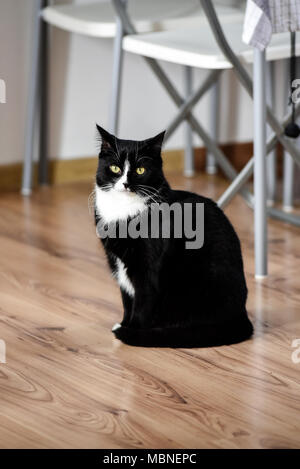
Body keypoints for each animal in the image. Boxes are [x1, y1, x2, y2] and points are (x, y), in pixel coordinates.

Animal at [94, 125, 253, 348]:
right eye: (115, 168)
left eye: (140, 170)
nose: (125, 184)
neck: (124, 212)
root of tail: (241, 316)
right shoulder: (117, 262)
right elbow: (127, 298)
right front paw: (125, 323)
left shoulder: (146, 268)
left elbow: (141, 302)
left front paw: (131, 330)